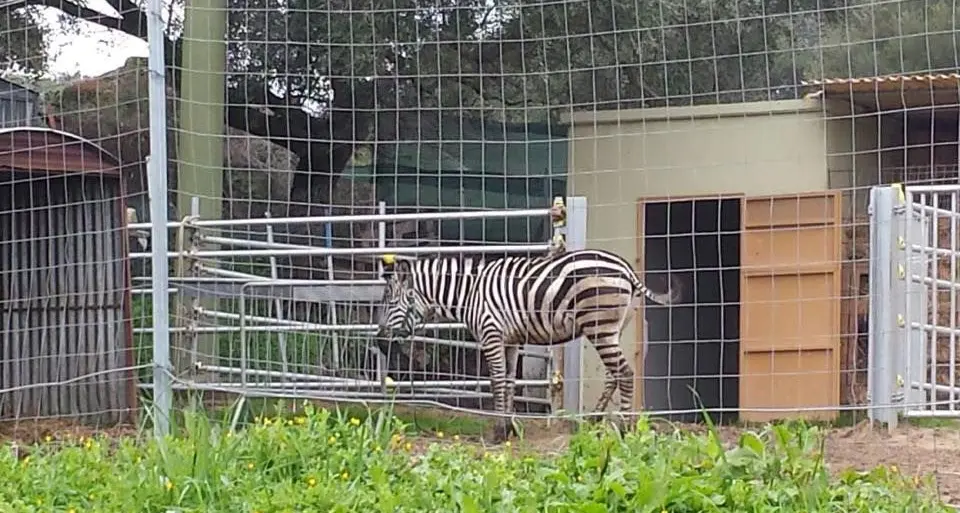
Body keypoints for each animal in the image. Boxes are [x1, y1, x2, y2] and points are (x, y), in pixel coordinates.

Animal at [376, 248, 684, 440]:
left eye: (390, 302)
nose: (379, 342)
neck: (470, 293)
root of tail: (627, 269)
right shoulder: (510, 341)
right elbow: (510, 382)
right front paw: (511, 427)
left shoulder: (491, 334)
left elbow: (496, 381)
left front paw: (499, 431)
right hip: (613, 329)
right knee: (613, 374)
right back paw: (594, 420)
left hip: (599, 325)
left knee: (625, 373)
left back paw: (624, 429)